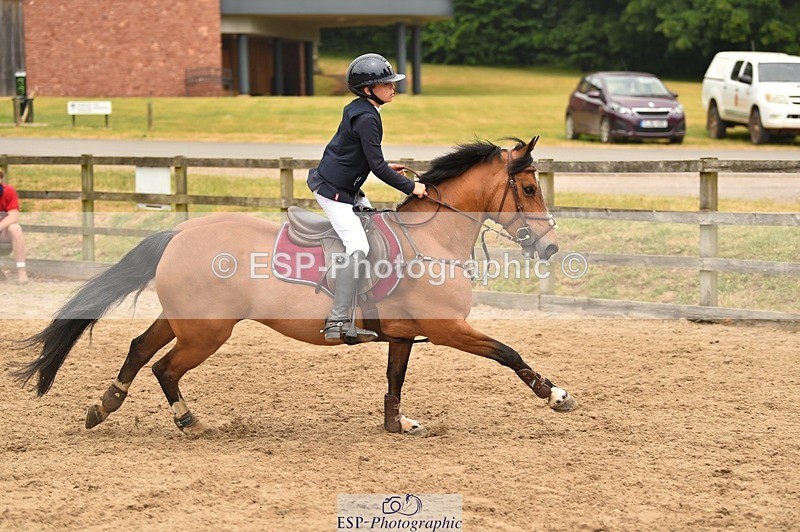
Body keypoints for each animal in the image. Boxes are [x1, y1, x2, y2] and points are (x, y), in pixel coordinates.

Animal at [13, 137, 576, 438]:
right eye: (529, 188)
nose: (550, 248)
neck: (431, 237)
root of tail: (182, 231)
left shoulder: (402, 335)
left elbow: (394, 381)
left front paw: (397, 426)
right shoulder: (447, 328)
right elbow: (508, 352)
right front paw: (555, 394)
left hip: (184, 320)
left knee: (138, 349)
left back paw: (103, 405)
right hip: (207, 332)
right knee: (164, 367)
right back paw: (190, 421)